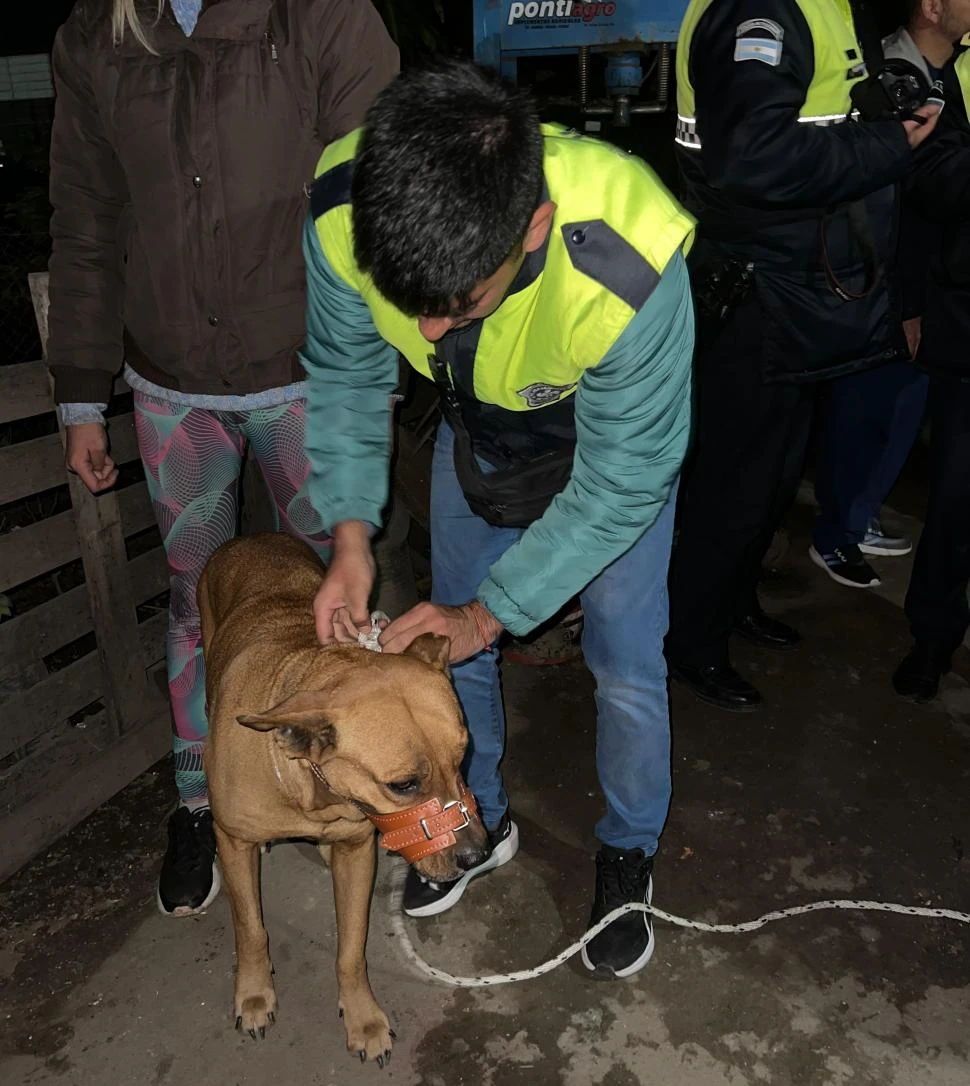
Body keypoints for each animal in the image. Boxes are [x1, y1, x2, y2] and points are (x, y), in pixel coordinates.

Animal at [196, 534, 488, 1059]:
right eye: (403, 785)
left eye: (464, 757)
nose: (478, 855)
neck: (311, 789)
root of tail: (251, 537)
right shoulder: (232, 841)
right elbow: (250, 927)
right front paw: (254, 993)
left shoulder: (356, 851)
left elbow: (351, 948)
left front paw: (362, 1017)